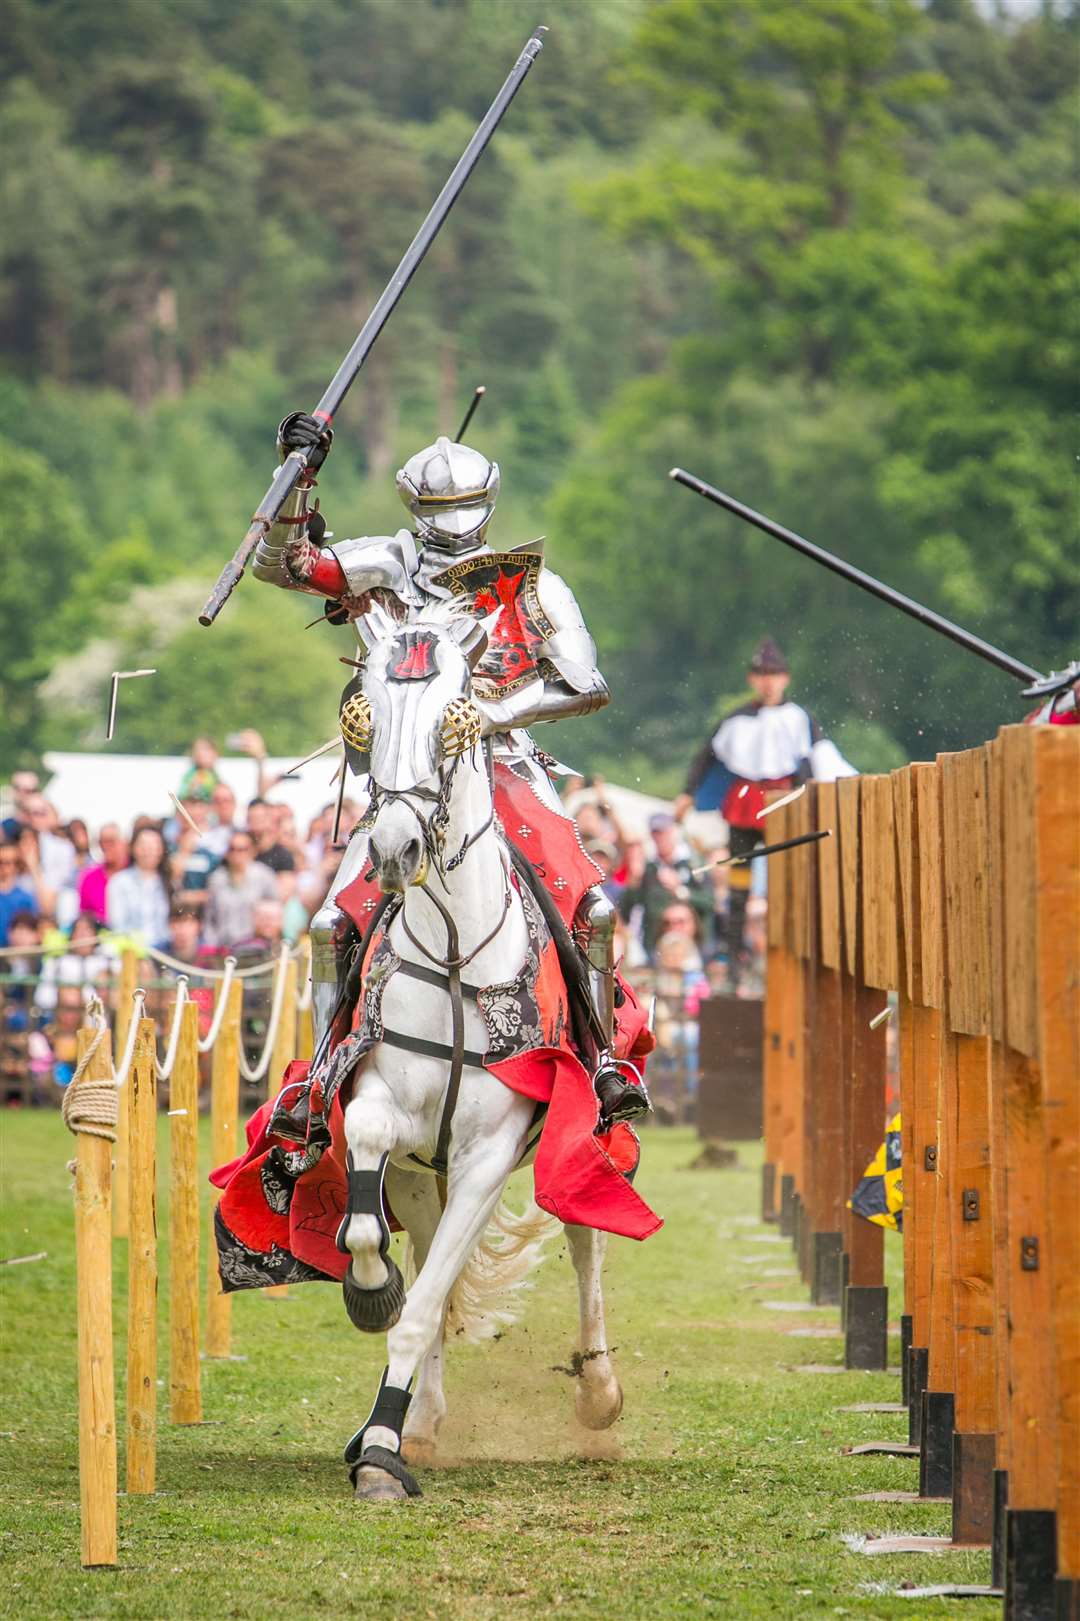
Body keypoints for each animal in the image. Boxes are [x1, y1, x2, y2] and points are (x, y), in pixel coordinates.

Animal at [337, 609, 622, 1504]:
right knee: (426, 1244)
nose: (393, 848)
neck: (459, 946)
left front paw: (381, 1452)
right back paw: (419, 1415)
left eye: (451, 721)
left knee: (584, 1240)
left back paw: (599, 1391)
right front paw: (372, 1296)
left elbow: (431, 1300)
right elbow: (378, 1236)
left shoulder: (489, 1153)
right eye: (368, 717)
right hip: (419, 1173)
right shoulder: (387, 1113)